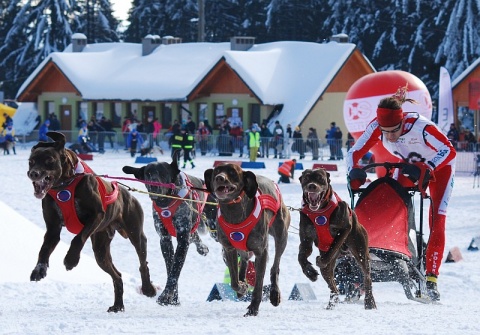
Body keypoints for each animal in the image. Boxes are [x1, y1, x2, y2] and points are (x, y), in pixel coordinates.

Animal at [26, 131, 156, 312]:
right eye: (31, 161)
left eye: (49, 160)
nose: (33, 173)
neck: (64, 185)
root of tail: (128, 194)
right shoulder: (52, 228)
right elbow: (44, 249)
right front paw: (39, 269)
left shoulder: (96, 215)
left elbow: (78, 238)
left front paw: (71, 259)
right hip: (101, 251)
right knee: (117, 275)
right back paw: (118, 305)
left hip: (135, 235)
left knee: (143, 263)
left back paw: (147, 288)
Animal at [202, 165, 288, 318]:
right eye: (216, 171)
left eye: (232, 172)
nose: (219, 178)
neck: (234, 211)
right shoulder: (228, 249)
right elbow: (234, 280)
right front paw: (241, 287)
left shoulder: (261, 252)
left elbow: (258, 284)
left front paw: (253, 308)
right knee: (244, 260)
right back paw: (242, 282)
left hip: (281, 234)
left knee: (275, 266)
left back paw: (274, 294)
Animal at [296, 169, 376, 312]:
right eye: (306, 178)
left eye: (320, 178)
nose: (312, 186)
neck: (320, 211)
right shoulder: (306, 240)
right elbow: (301, 257)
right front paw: (309, 272)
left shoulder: (345, 229)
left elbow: (333, 247)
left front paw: (320, 261)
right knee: (333, 286)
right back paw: (332, 303)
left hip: (360, 250)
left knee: (367, 277)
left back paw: (369, 302)